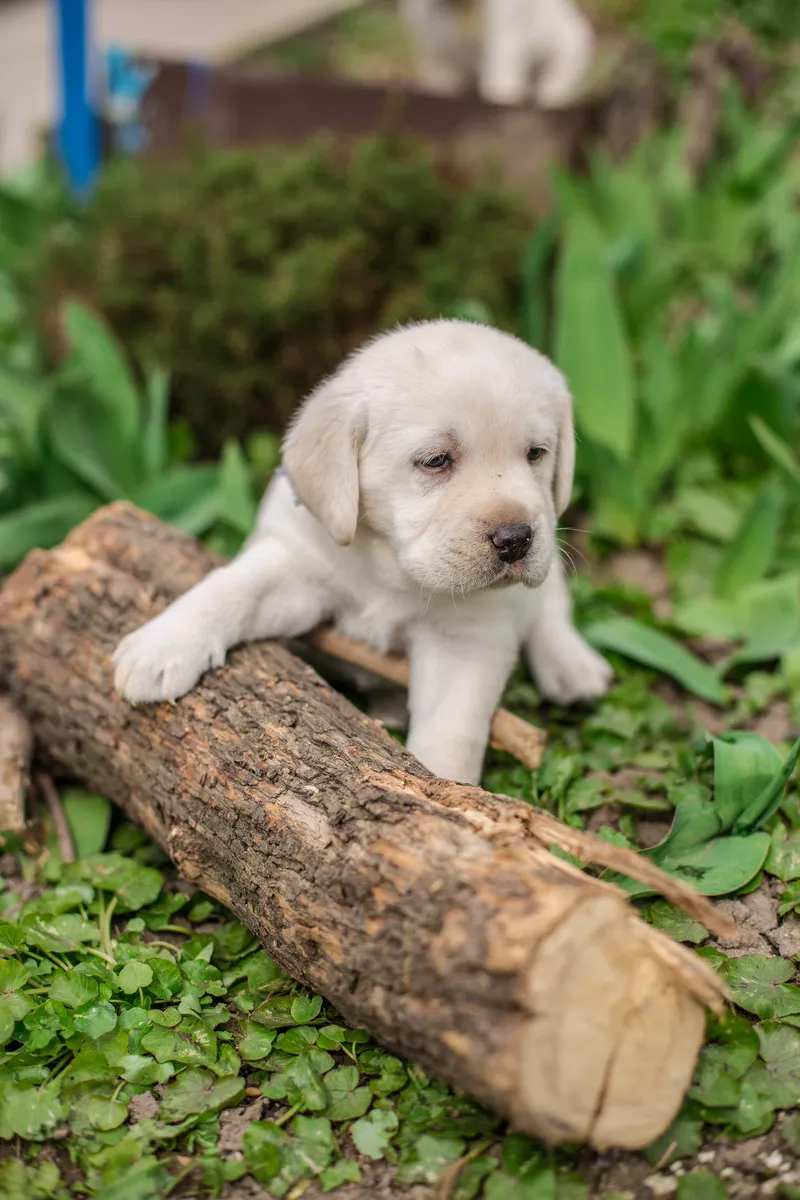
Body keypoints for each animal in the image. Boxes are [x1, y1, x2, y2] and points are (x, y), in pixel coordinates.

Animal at [112, 321, 609, 787]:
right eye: (436, 460)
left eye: (536, 453)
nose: (516, 538)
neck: (391, 568)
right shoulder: (298, 567)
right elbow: (234, 586)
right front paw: (162, 645)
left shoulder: (467, 641)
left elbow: (451, 732)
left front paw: (445, 796)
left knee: (550, 604)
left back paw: (572, 666)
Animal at [400, 0, 594, 108]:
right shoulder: (433, 40)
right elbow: (439, 68)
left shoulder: (504, 34)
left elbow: (501, 63)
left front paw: (502, 95)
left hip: (571, 47)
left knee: (557, 82)